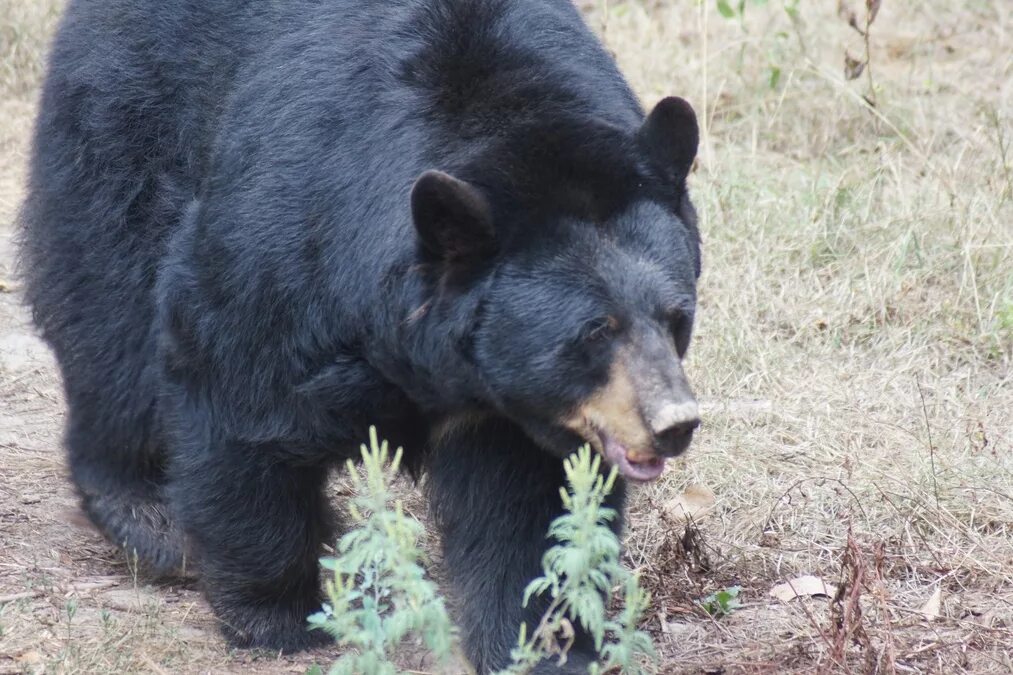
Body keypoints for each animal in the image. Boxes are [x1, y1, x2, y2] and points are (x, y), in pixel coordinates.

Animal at [23, 0, 705, 668]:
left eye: (676, 317)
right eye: (595, 331)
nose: (674, 424)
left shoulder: (510, 407)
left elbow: (526, 504)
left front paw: (542, 644)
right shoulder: (292, 239)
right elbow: (237, 391)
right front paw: (278, 615)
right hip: (126, 127)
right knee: (110, 315)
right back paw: (149, 517)